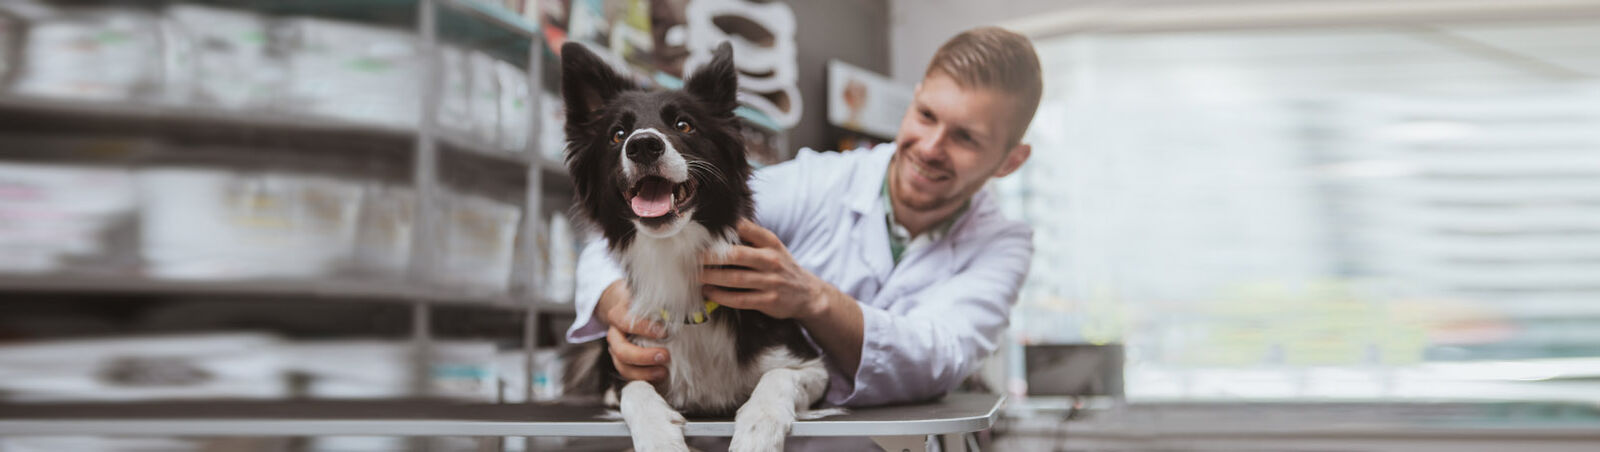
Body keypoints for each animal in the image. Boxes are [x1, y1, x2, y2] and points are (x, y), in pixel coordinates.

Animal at [560, 40, 838, 448]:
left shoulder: (811, 366)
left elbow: (778, 377)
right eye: (617, 134)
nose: (643, 145)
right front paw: (659, 436)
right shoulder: (634, 359)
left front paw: (759, 428)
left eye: (683, 125)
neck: (674, 250)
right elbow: (635, 390)